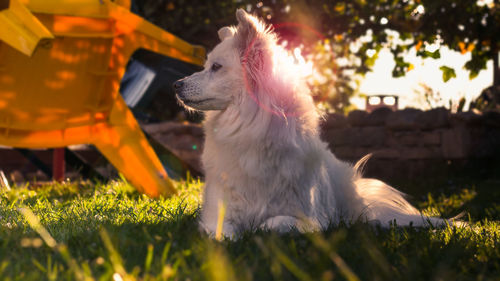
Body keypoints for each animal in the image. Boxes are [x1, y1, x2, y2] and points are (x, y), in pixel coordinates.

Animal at [174, 9, 452, 235]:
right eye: (207, 65)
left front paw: (260, 229)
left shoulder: (312, 219)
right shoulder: (218, 211)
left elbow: (276, 222)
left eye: (216, 67)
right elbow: (224, 230)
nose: (176, 84)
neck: (249, 130)